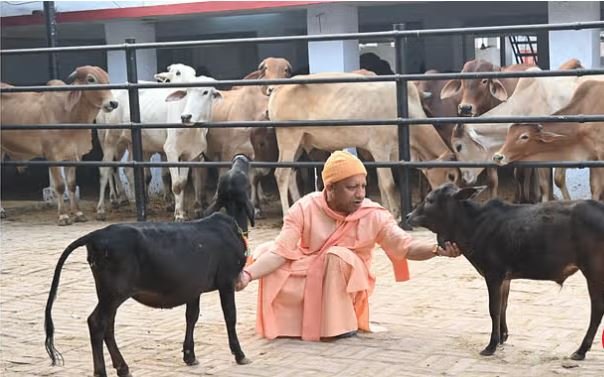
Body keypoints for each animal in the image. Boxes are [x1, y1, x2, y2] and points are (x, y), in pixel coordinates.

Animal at [0, 65, 118, 223]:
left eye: (107, 80)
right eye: (91, 79)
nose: (113, 103)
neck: (69, 115)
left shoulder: (73, 155)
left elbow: (71, 185)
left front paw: (78, 213)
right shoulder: (52, 156)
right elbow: (60, 186)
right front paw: (63, 215)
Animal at [406, 184, 604, 360]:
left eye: (429, 200)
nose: (408, 216)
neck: (473, 225)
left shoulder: (493, 274)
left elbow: (493, 309)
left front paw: (491, 345)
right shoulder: (505, 278)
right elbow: (503, 306)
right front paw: (503, 337)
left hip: (594, 271)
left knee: (597, 309)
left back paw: (581, 350)